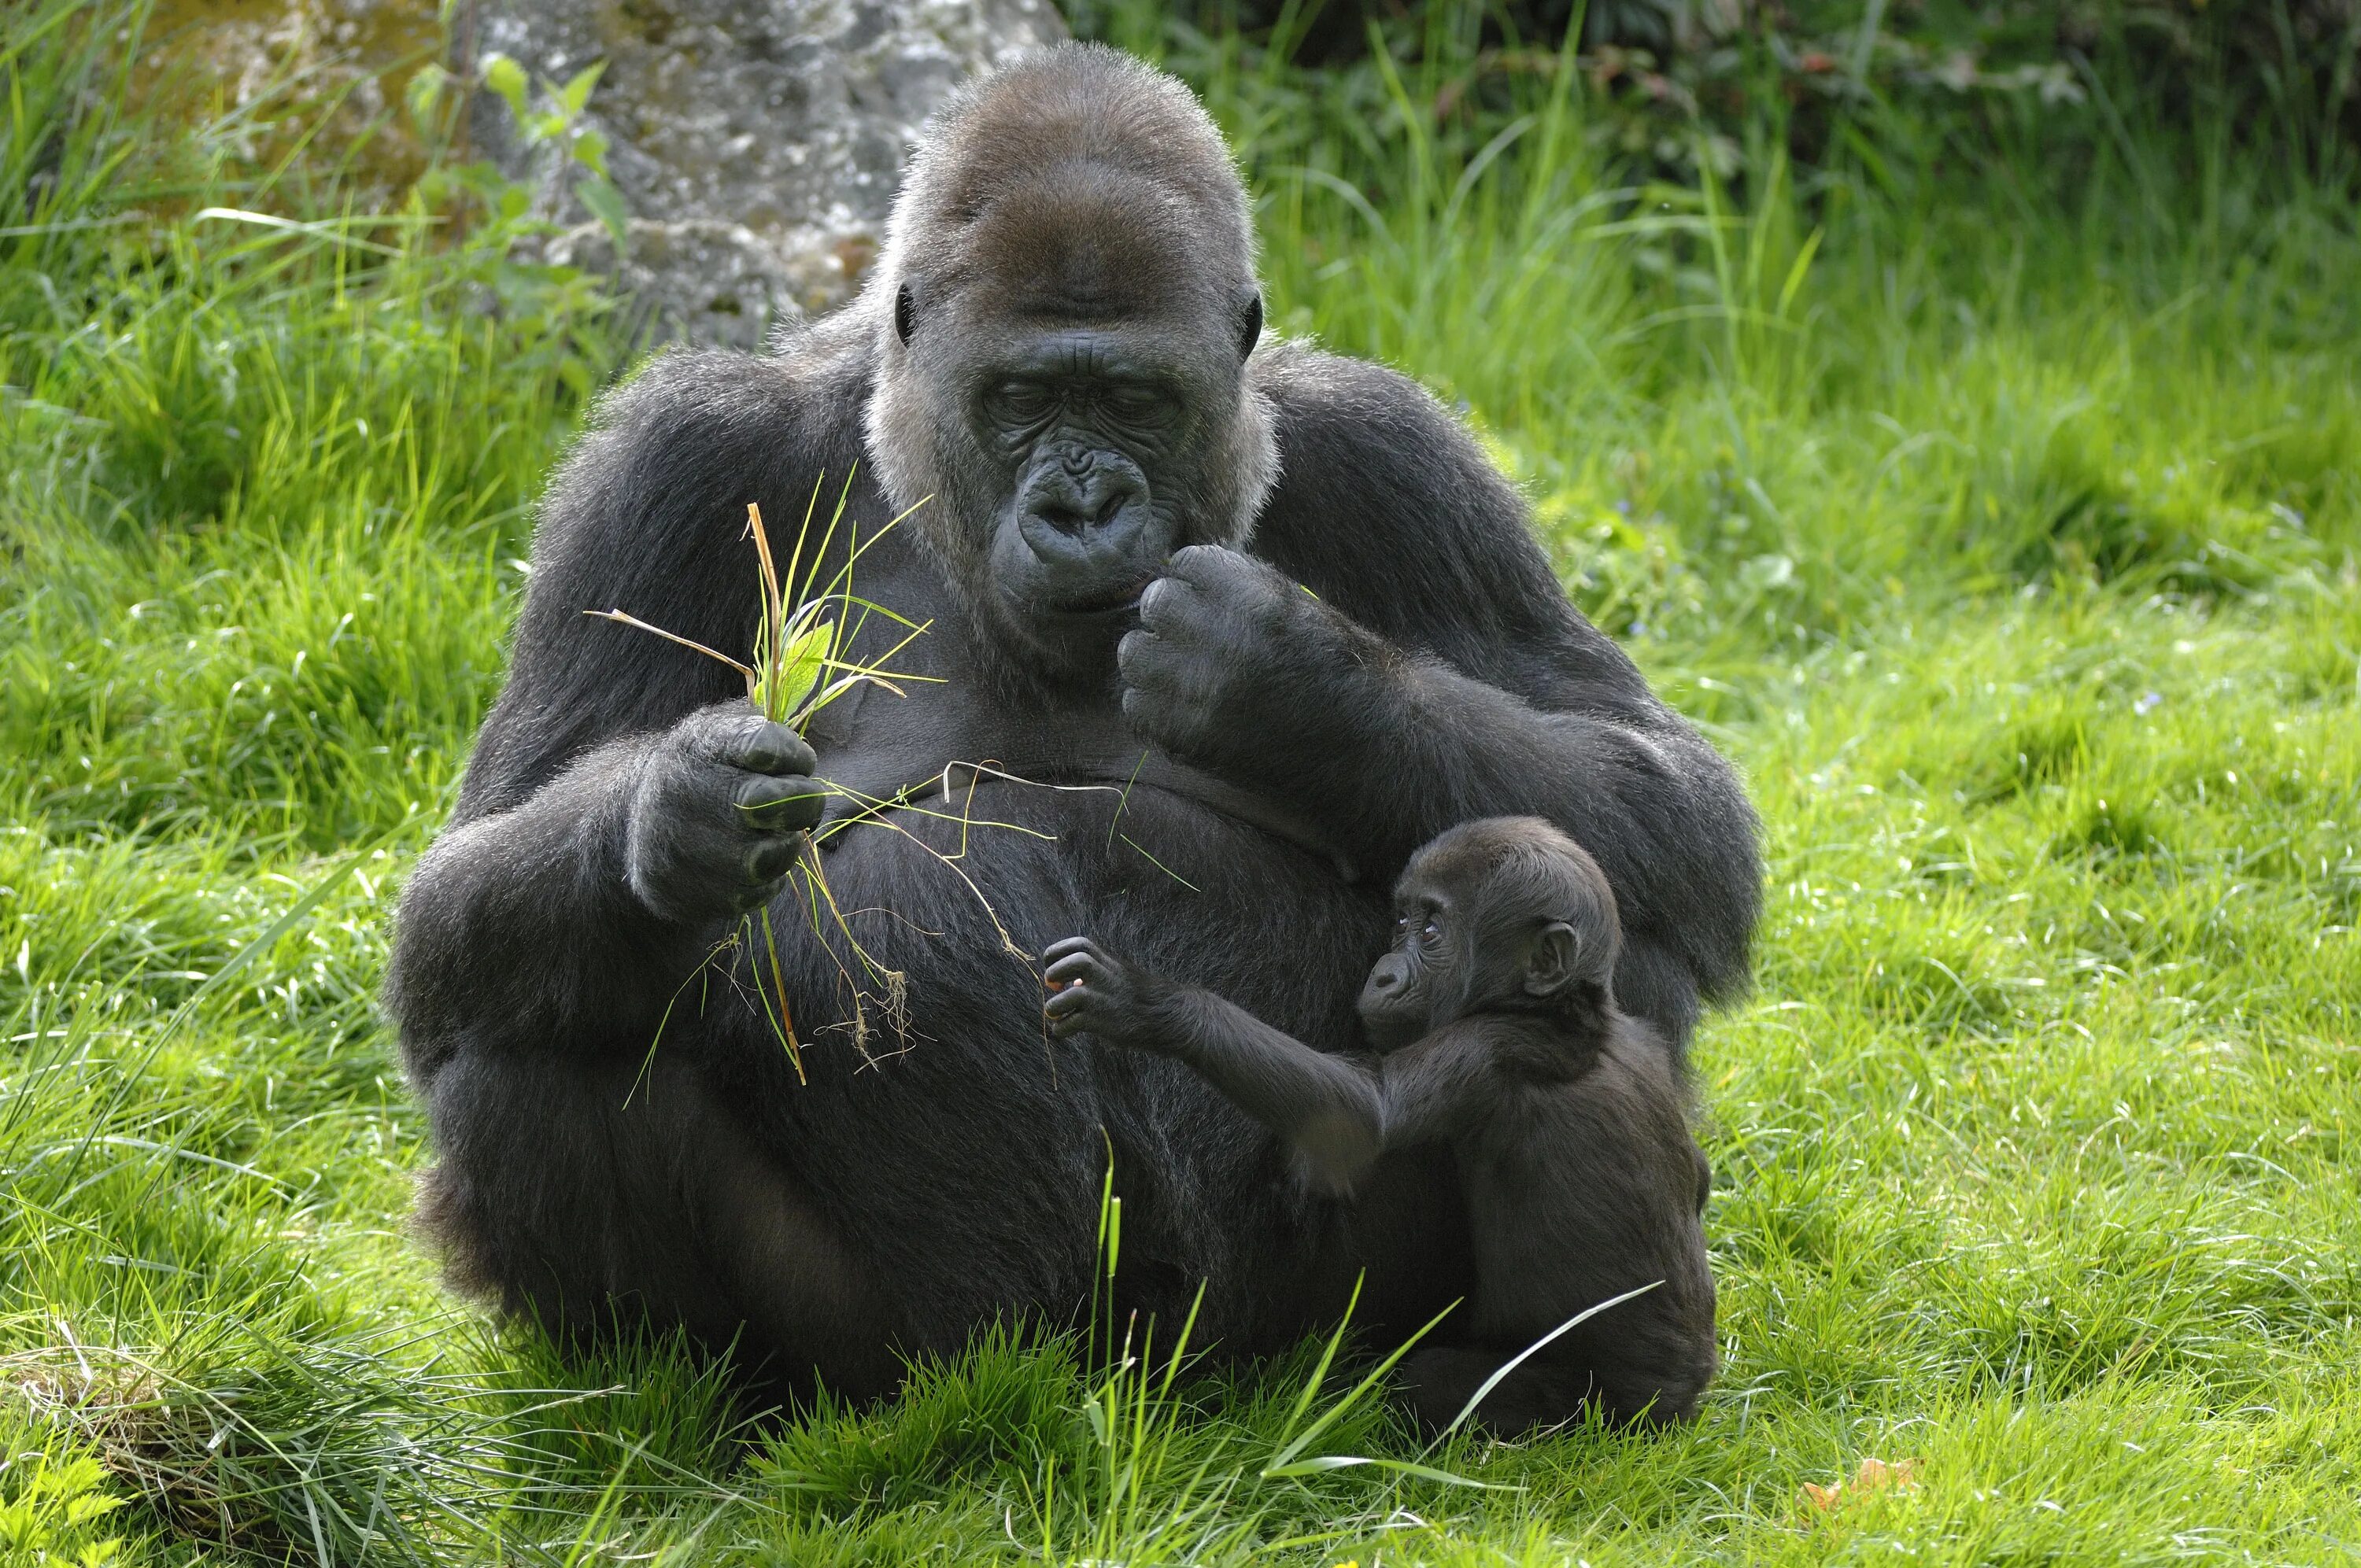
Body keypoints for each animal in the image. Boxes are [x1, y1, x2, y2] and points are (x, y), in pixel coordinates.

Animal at [1044, 821, 1709, 1435]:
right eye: (1402, 922)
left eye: (1432, 932)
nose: (1383, 971)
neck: (1562, 1009)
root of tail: (1684, 1400)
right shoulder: (1636, 1033)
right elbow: (1696, 1170)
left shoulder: (1486, 1047)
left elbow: (1360, 1115)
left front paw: (1150, 1003)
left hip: (1597, 1407)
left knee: (1435, 1382)